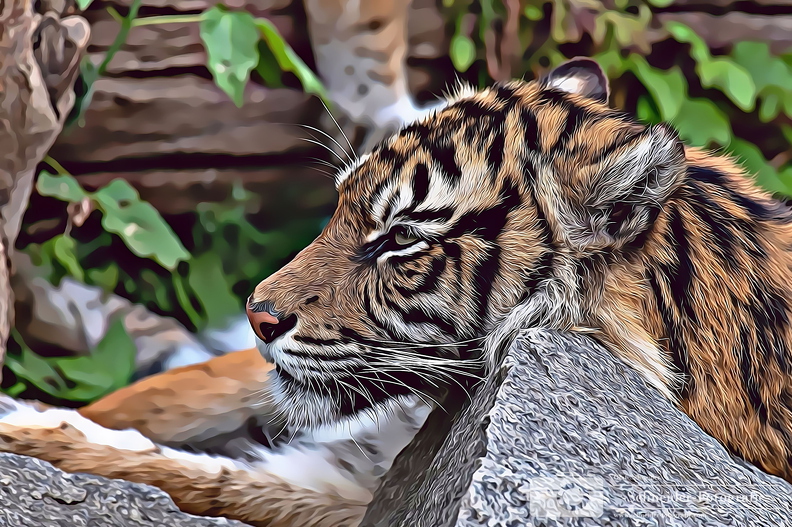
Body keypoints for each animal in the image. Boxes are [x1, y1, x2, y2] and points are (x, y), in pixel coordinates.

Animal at [3, 56, 792, 526]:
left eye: (400, 240)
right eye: (339, 206)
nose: (261, 314)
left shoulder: (357, 485)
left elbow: (207, 477)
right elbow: (170, 397)